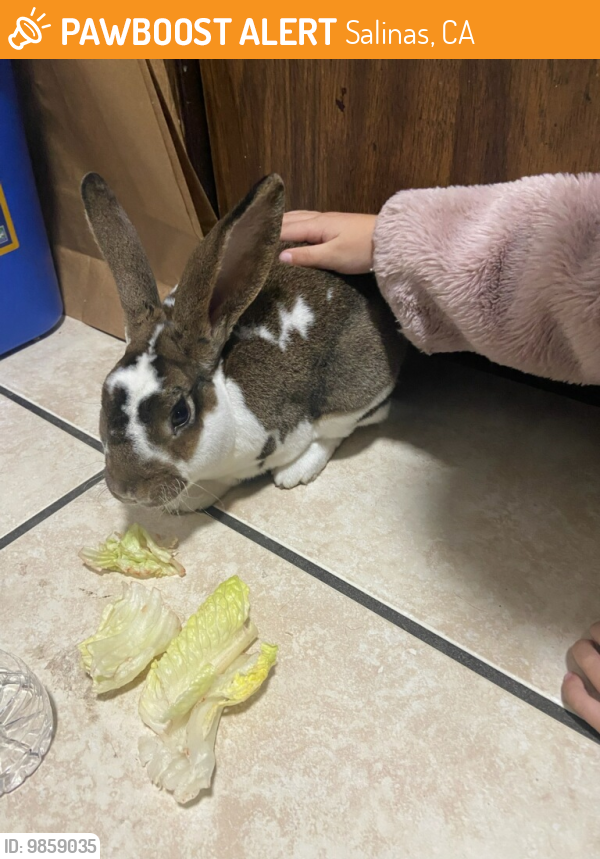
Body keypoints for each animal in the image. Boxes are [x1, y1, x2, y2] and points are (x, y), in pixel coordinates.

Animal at [81, 172, 406, 513]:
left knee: (343, 426)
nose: (127, 490)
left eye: (180, 414)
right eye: (104, 398)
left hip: (356, 388)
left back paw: (294, 473)